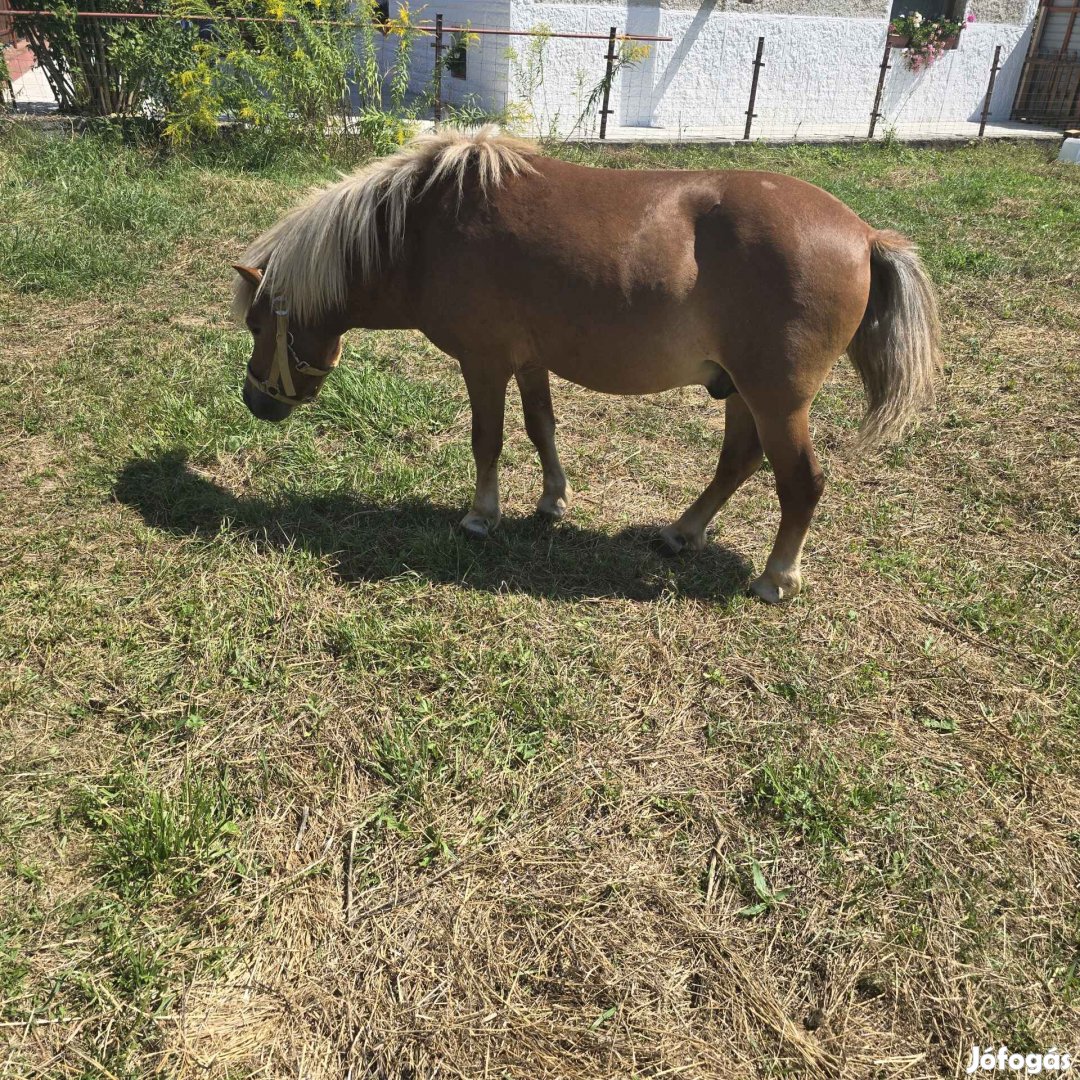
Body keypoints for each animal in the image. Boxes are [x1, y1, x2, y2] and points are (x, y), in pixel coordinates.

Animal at [232, 127, 941, 604]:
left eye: (257, 324)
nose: (255, 401)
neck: (425, 229)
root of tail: (865, 236)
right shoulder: (529, 361)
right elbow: (541, 429)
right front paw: (552, 500)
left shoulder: (484, 363)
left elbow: (487, 440)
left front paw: (481, 515)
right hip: (743, 391)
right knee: (738, 462)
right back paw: (682, 533)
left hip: (777, 400)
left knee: (801, 483)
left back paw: (777, 576)